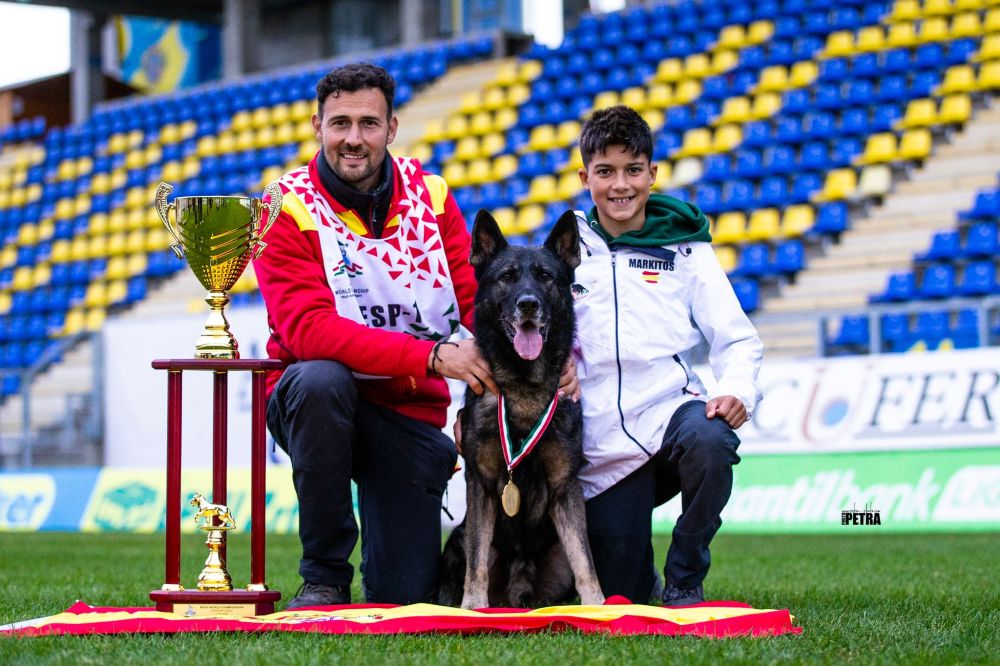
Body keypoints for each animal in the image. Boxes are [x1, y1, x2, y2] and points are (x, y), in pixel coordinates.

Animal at [438, 209, 605, 609]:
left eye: (545, 276)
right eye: (507, 277)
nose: (528, 304)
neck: (522, 386)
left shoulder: (565, 487)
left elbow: (585, 560)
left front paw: (599, 607)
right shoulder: (481, 487)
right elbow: (477, 565)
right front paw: (472, 608)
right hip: (458, 541)